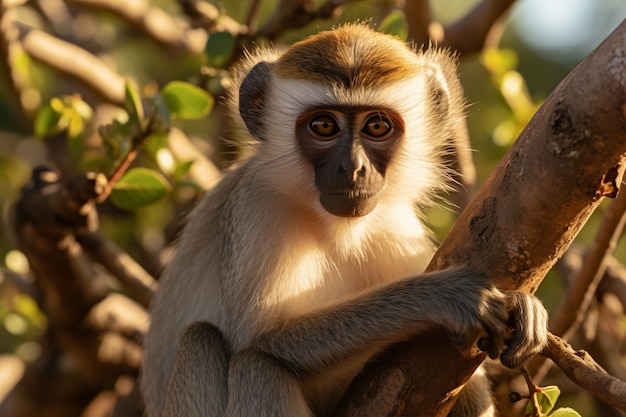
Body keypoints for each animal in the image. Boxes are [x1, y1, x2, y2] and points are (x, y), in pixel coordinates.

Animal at [140, 23, 544, 416]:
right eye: (323, 126)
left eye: (377, 127)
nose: (353, 168)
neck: (334, 228)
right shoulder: (256, 207)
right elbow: (256, 340)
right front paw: (441, 297)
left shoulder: (396, 226)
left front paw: (525, 307)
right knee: (234, 354)